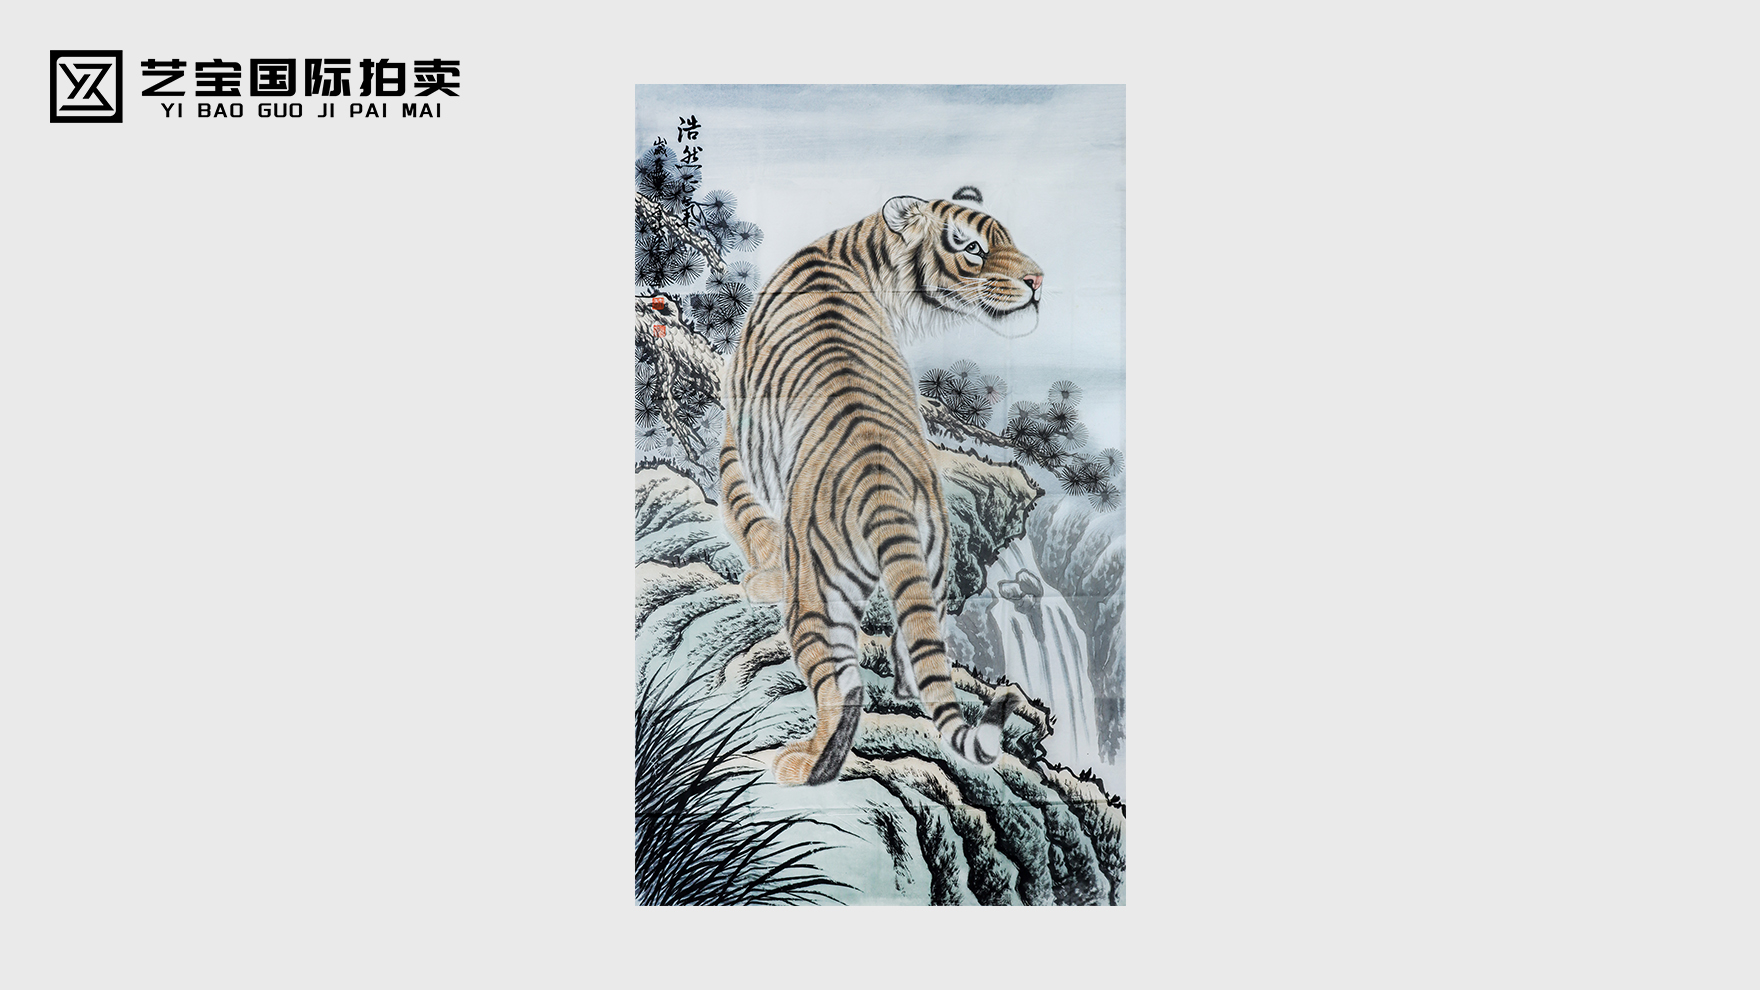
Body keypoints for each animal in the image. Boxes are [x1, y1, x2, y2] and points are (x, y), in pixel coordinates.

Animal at [720, 194, 1045, 786]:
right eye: (973, 247)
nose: (1037, 280)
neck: (857, 248)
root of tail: (885, 489)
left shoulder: (738, 431)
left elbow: (744, 509)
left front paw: (764, 579)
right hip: (933, 561)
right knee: (919, 637)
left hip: (817, 595)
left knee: (843, 688)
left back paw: (805, 765)